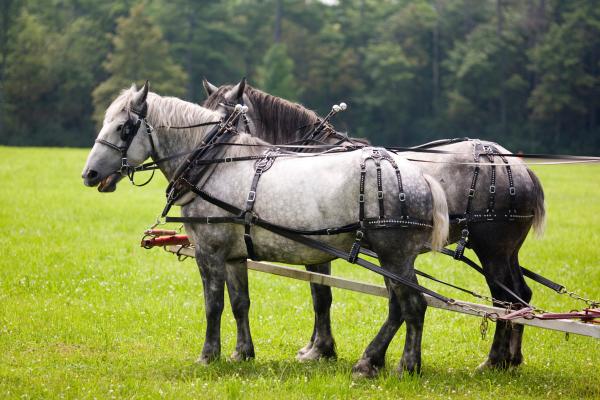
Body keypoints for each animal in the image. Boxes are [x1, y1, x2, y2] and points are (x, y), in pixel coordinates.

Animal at [81, 83, 450, 376]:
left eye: (124, 127)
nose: (89, 174)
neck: (215, 163)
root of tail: (418, 175)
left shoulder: (209, 252)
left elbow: (213, 304)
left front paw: (208, 356)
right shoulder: (234, 256)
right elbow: (240, 302)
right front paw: (242, 353)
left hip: (394, 256)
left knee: (413, 305)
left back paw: (404, 365)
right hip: (394, 259)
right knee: (402, 305)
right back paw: (376, 361)